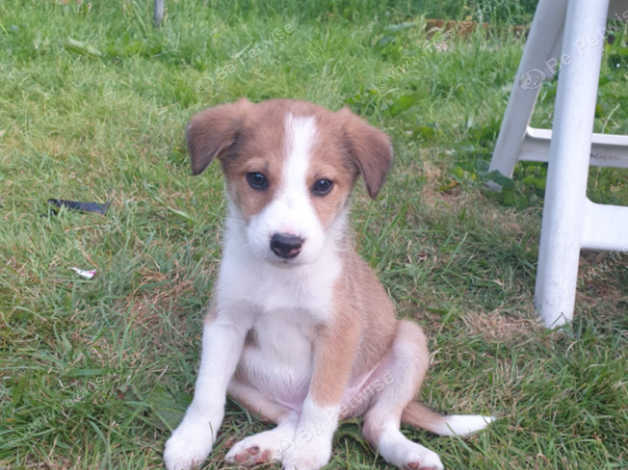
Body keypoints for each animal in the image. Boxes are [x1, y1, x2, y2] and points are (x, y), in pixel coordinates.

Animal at [164, 99, 494, 470]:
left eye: (322, 185)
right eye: (257, 179)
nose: (286, 243)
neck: (281, 276)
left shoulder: (339, 331)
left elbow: (320, 402)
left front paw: (309, 451)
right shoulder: (225, 324)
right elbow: (207, 392)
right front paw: (191, 439)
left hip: (410, 340)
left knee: (374, 423)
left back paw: (412, 454)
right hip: (242, 381)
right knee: (293, 416)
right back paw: (260, 447)